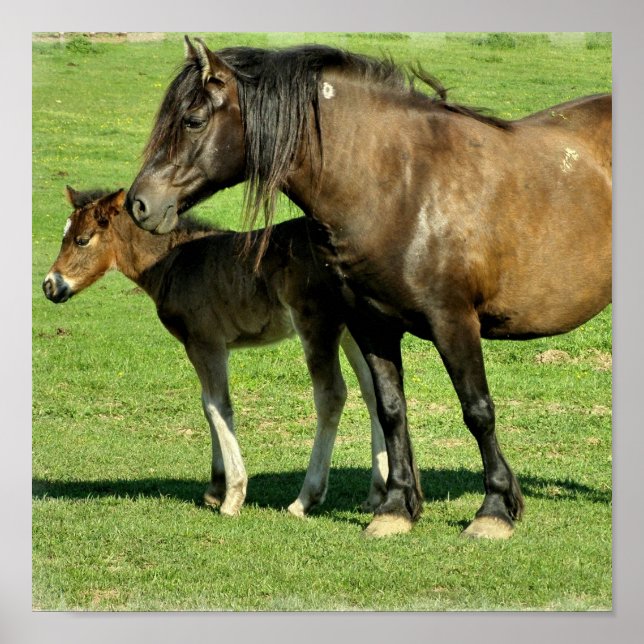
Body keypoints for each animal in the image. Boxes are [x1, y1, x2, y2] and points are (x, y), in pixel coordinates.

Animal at [42, 186, 389, 518]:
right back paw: (377, 494)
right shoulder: (206, 346)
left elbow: (216, 406)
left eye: (82, 240)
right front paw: (214, 488)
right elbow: (207, 403)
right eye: (64, 236)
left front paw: (232, 496)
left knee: (331, 395)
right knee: (373, 392)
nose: (49, 286)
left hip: (316, 323)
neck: (173, 264)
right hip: (353, 330)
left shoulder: (205, 342)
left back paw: (306, 499)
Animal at [126, 38, 612, 538]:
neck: (402, 186)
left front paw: (494, 510)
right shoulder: (370, 323)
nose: (139, 204)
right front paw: (395, 508)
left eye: (193, 120)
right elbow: (390, 409)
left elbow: (478, 410)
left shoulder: (453, 322)